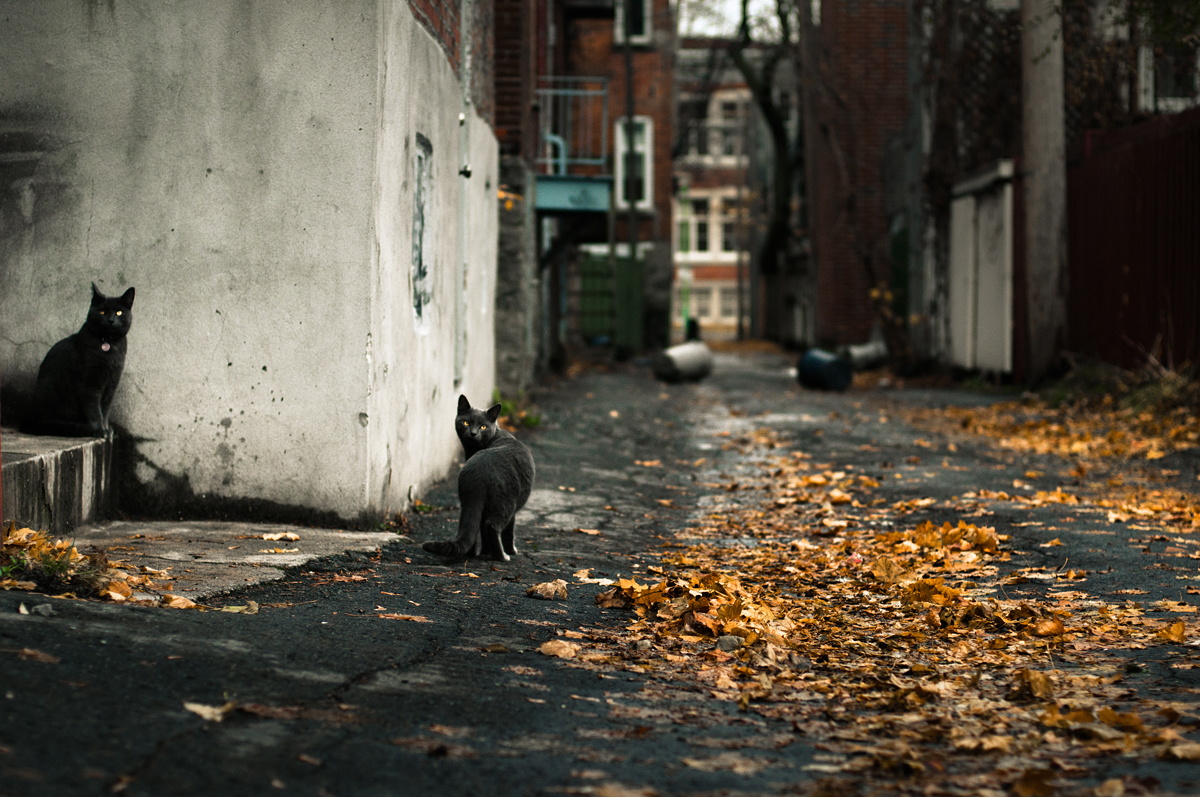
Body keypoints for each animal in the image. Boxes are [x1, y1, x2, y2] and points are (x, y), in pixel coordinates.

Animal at [23, 283, 136, 439]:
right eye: (102, 311)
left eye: (119, 312)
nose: (111, 320)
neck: (108, 346)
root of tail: (34, 420)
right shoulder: (89, 384)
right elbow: (94, 409)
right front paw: (100, 430)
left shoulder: (112, 384)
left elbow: (105, 409)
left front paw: (107, 429)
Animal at [422, 393, 535, 559]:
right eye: (466, 422)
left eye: (483, 426)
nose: (473, 433)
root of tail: (478, 474)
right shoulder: (513, 512)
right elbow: (509, 532)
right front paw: (511, 551)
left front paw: (485, 551)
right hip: (506, 503)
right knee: (491, 526)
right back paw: (502, 556)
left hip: (470, 502)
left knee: (472, 528)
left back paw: (473, 553)